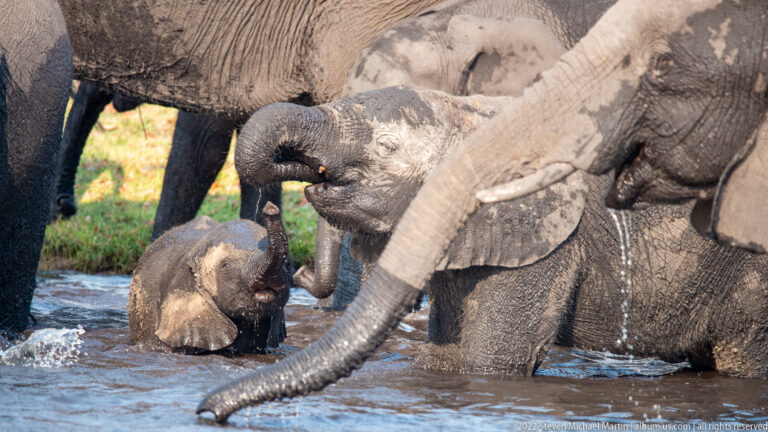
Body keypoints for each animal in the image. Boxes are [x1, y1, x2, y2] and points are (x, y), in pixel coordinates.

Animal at [196, 0, 768, 421]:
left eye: (385, 149)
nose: (206, 412)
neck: (473, 118)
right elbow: (447, 359)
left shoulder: (543, 244)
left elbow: (488, 361)